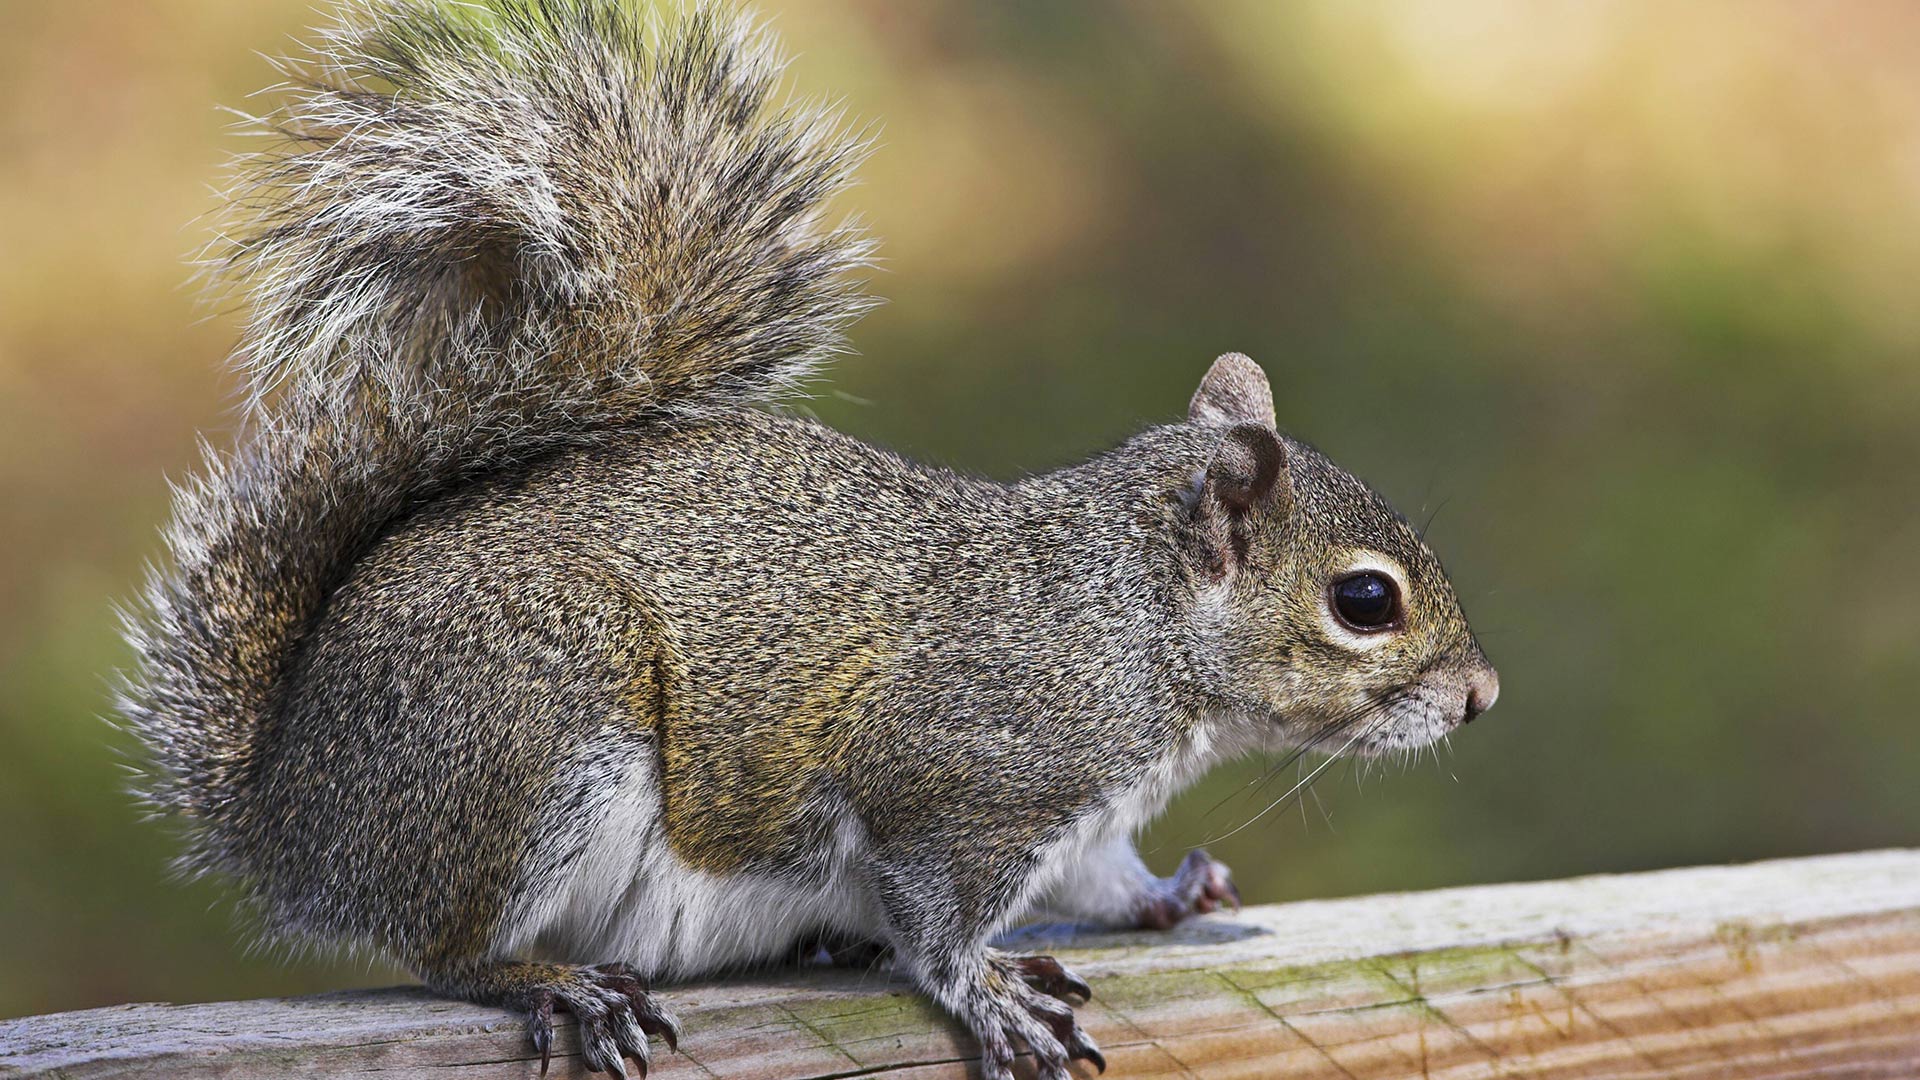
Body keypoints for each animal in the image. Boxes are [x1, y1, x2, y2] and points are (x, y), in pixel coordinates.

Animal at [116, 2, 1497, 1076]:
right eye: (1365, 602)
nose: (1482, 696)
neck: (1133, 623)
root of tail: (291, 808)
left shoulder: (1082, 825)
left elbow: (1103, 880)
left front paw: (1173, 895)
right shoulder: (959, 777)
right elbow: (939, 919)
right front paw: (991, 997)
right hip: (524, 728)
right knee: (441, 945)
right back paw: (552, 982)